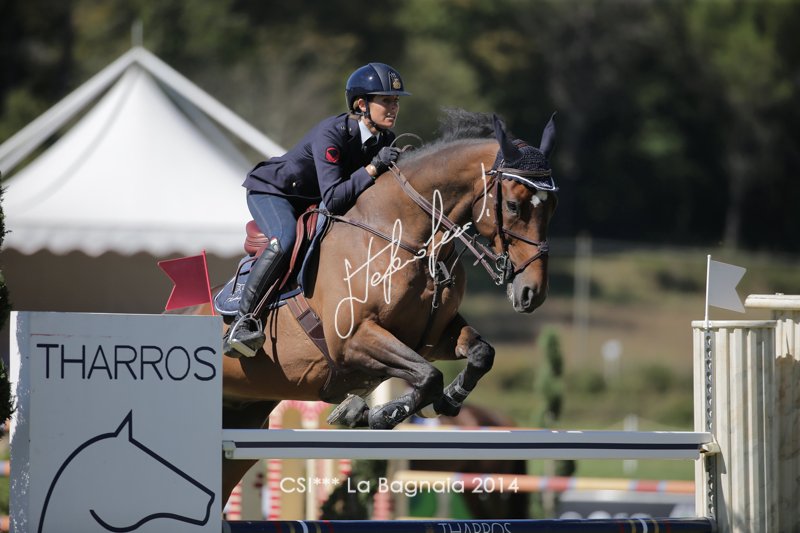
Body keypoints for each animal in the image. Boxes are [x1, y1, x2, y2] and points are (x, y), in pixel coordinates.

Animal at [186, 109, 557, 505]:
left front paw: (443, 401)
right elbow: (428, 375)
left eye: (553, 206)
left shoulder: (432, 336)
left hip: (243, 418)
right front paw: (382, 413)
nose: (532, 292)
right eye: (514, 205)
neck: (407, 236)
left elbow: (479, 354)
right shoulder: (353, 340)